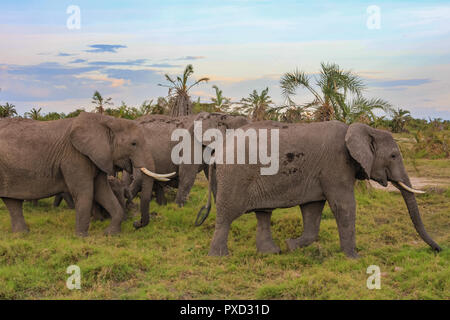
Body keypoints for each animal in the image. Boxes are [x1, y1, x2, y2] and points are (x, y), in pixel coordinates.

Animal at [0, 112, 173, 235]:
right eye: (134, 143)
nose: (136, 224)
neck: (107, 121)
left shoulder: (98, 156)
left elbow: (102, 191)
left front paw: (110, 233)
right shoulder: (74, 157)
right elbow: (86, 192)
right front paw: (81, 237)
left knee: (12, 201)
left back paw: (22, 234)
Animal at [202, 120, 442, 258]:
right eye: (393, 155)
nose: (439, 250)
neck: (362, 128)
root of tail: (218, 148)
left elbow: (313, 210)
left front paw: (291, 246)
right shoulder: (336, 164)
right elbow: (344, 206)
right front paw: (353, 258)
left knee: (263, 213)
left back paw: (273, 252)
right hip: (235, 175)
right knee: (227, 215)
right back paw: (219, 257)